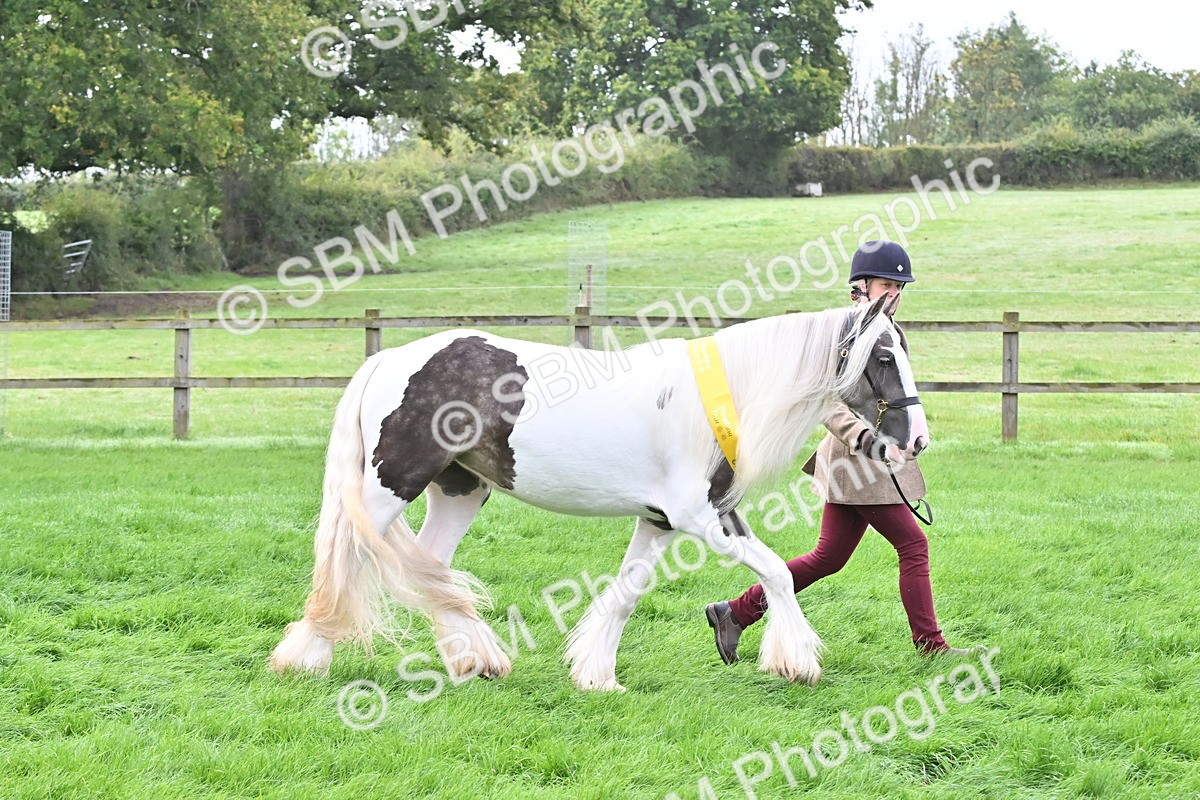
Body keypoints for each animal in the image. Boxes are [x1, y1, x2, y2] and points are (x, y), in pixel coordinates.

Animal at [269, 293, 928, 690]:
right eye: (883, 355)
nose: (917, 439)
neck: (724, 398)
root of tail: (388, 361)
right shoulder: (695, 518)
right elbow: (778, 572)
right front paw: (796, 661)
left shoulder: (670, 520)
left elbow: (629, 592)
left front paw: (597, 675)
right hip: (389, 487)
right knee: (346, 561)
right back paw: (307, 658)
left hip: (460, 491)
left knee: (432, 570)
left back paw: (476, 660)